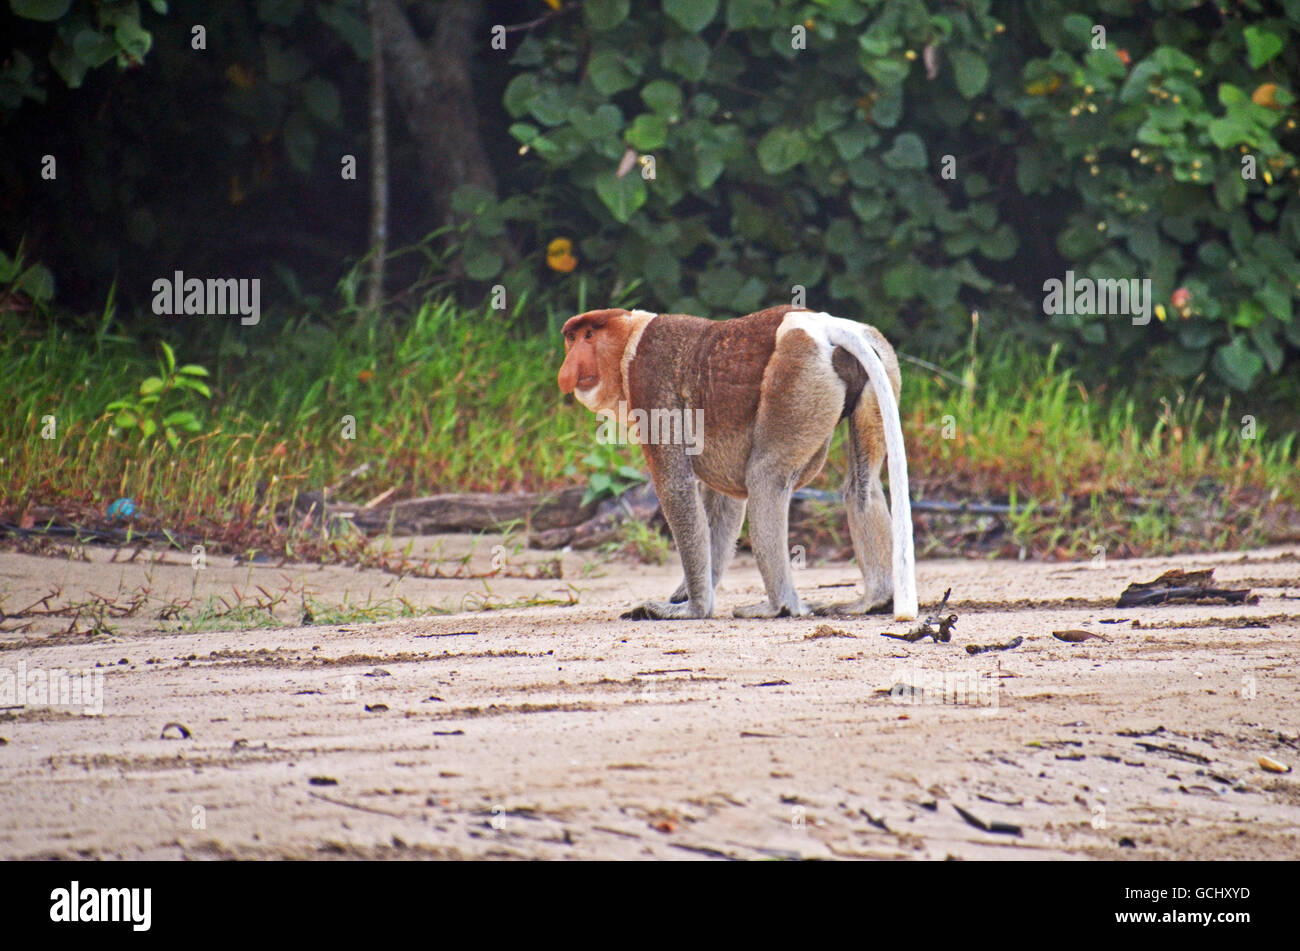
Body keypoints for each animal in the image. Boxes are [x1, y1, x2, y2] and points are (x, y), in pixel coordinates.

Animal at [556, 302, 915, 615]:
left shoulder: (650, 381)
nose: (567, 368)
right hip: (879, 365)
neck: (630, 341)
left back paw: (780, 607)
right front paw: (685, 595)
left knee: (765, 477)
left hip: (798, 370)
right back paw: (875, 600)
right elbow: (725, 500)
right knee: (862, 484)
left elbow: (676, 488)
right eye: (571, 338)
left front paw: (693, 607)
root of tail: (822, 324)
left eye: (589, 335)